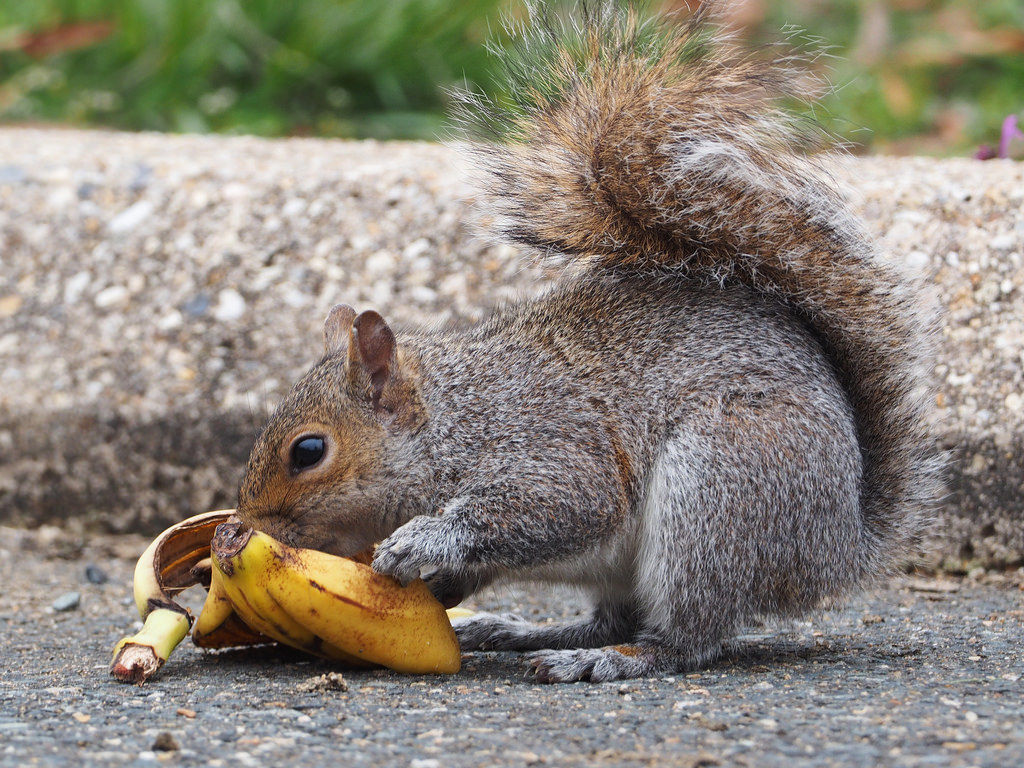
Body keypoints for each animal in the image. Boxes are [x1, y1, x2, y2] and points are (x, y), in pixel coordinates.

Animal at [235, 1, 937, 684]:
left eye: (308, 451)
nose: (245, 529)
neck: (451, 420)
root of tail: (839, 547)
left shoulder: (549, 445)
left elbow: (564, 505)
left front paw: (424, 543)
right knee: (613, 618)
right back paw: (526, 632)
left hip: (718, 496)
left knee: (688, 637)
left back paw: (614, 658)